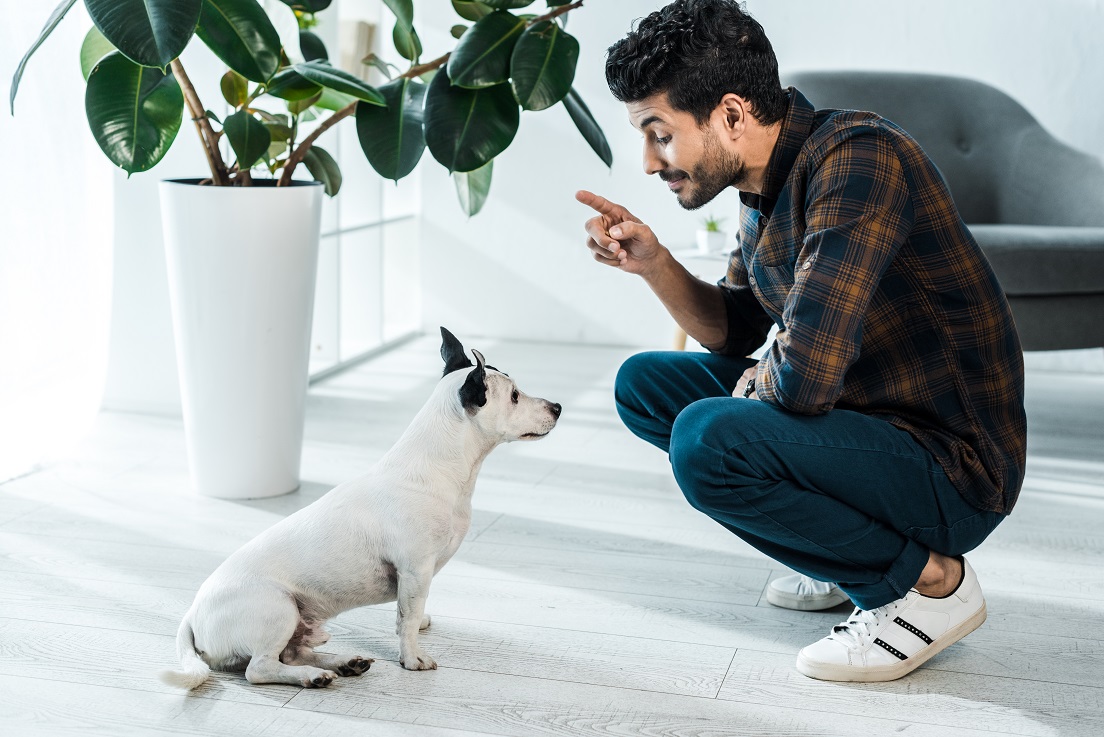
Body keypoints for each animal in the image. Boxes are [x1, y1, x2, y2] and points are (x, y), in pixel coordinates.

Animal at [160, 326, 560, 684]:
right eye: (514, 396)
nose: (557, 406)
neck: (441, 469)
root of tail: (192, 616)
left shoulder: (419, 577)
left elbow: (413, 610)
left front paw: (419, 626)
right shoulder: (415, 569)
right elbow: (406, 618)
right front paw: (412, 658)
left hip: (298, 624)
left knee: (294, 653)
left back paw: (342, 663)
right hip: (277, 610)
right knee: (260, 668)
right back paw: (313, 676)